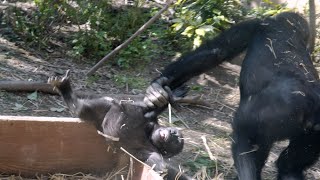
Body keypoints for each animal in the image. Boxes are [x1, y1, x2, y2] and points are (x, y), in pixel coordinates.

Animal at [48, 71, 191, 180]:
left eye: (175, 141)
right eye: (176, 135)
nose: (172, 134)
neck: (150, 134)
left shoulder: (154, 156)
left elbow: (164, 170)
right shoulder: (152, 119)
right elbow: (152, 107)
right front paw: (167, 92)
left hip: (98, 113)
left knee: (81, 109)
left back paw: (65, 90)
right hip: (109, 105)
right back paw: (64, 86)